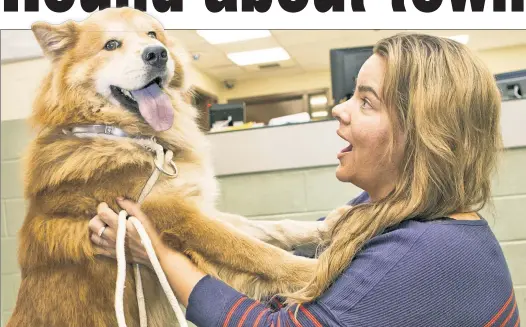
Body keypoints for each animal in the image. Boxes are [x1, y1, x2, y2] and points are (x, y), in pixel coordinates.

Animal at [6, 7, 350, 327]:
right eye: (111, 45)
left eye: (152, 35)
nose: (157, 53)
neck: (126, 135)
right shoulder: (179, 215)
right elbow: (255, 251)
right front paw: (316, 272)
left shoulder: (194, 203)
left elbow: (268, 228)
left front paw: (326, 228)